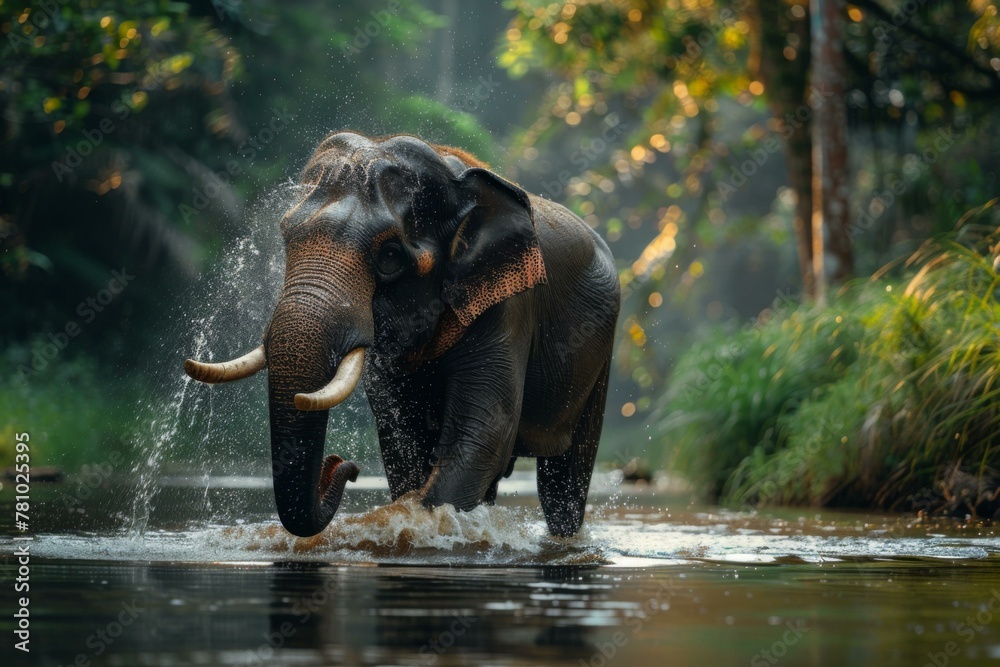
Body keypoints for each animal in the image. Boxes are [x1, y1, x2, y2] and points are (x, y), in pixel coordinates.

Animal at [184, 132, 620, 538]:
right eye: (287, 237)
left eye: (391, 257)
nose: (343, 465)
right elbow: (401, 443)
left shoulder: (508, 304)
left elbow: (483, 434)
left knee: (563, 483)